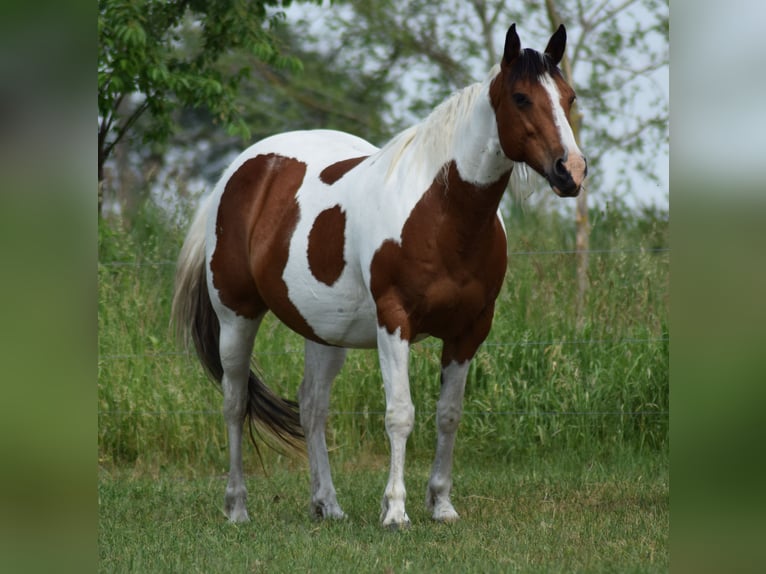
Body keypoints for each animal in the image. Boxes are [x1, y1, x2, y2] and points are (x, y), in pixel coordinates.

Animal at [172, 23, 586, 528]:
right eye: (522, 97)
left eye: (568, 97)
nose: (571, 171)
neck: (441, 213)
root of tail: (239, 172)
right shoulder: (395, 321)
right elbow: (400, 414)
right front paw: (396, 510)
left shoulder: (469, 331)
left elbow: (448, 414)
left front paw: (441, 504)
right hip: (237, 317)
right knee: (234, 402)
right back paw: (236, 506)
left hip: (324, 331)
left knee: (312, 407)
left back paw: (327, 504)